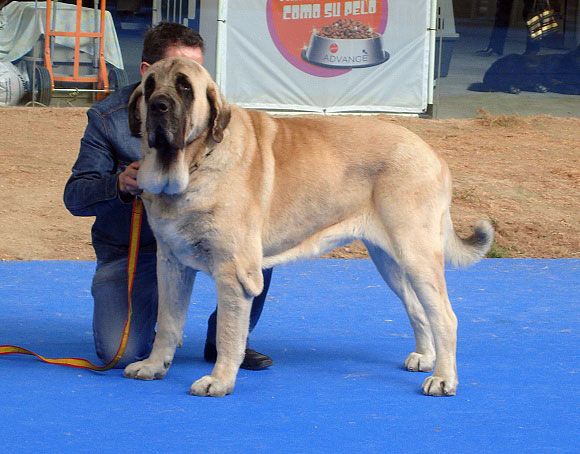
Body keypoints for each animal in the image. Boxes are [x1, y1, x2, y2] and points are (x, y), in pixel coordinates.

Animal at [124, 56, 492, 398]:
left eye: (185, 87)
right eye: (150, 85)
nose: (158, 105)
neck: (195, 164)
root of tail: (432, 153)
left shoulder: (234, 271)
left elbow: (228, 332)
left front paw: (219, 380)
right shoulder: (171, 264)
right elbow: (168, 322)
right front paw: (154, 365)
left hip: (416, 254)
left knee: (444, 316)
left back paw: (443, 378)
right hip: (389, 260)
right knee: (417, 307)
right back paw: (425, 357)